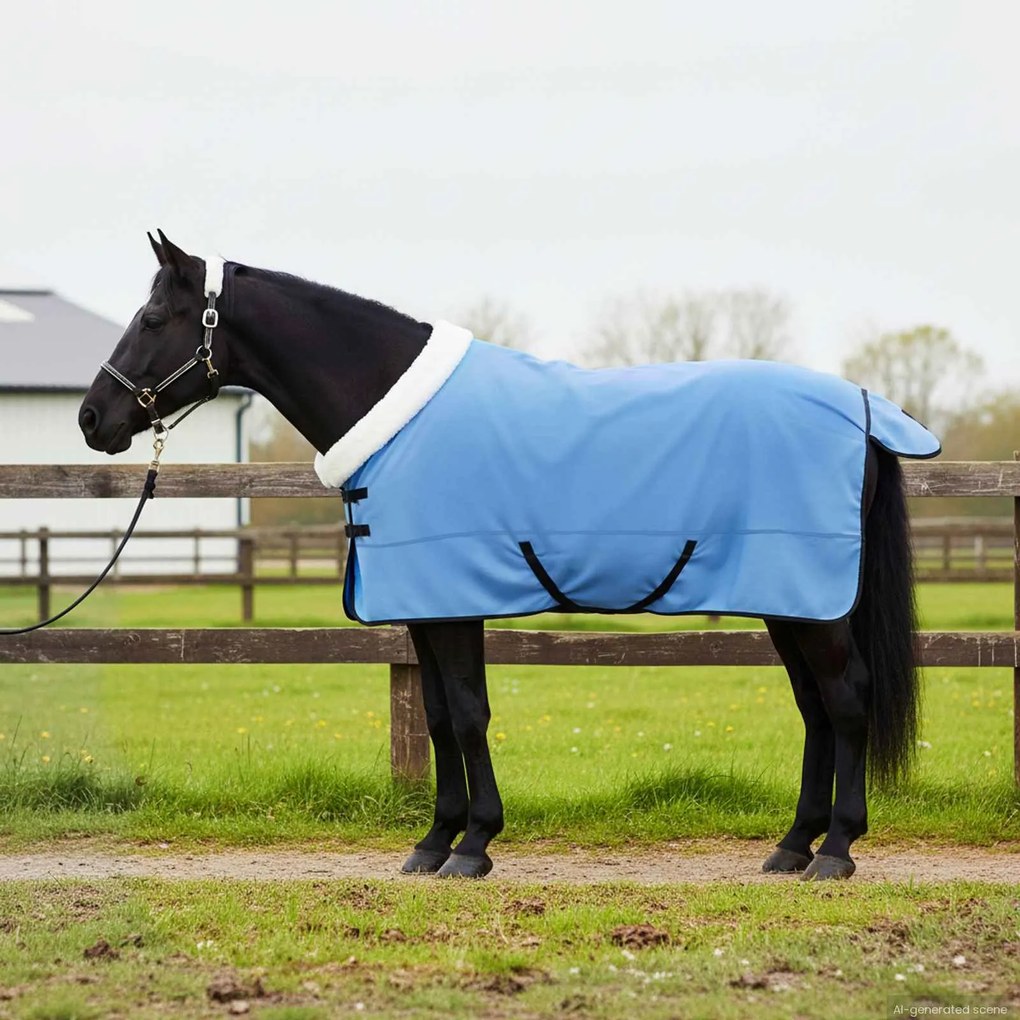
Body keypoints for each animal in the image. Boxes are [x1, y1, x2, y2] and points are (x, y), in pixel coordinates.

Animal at [79, 231, 938, 881]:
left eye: (154, 316)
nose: (92, 417)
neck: (395, 415)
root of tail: (865, 411)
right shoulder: (424, 609)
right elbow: (435, 717)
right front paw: (434, 843)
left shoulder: (453, 602)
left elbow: (466, 715)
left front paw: (474, 846)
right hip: (789, 601)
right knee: (815, 708)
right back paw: (792, 846)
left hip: (814, 604)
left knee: (847, 701)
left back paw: (835, 850)